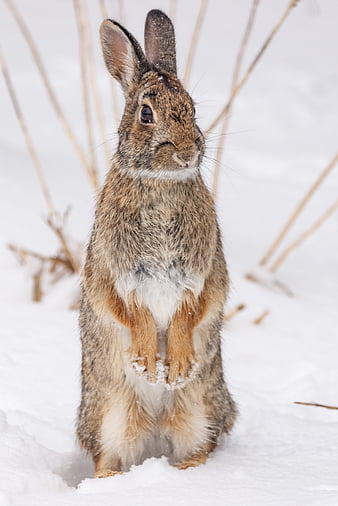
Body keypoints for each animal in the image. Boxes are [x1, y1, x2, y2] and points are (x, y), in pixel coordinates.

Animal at [77, 8, 238, 478]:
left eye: (192, 108)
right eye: (146, 114)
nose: (186, 152)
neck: (161, 182)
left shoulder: (204, 273)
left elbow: (190, 311)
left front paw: (177, 364)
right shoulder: (112, 272)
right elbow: (132, 313)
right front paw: (148, 364)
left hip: (199, 409)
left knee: (201, 442)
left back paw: (187, 473)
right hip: (110, 414)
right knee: (107, 453)